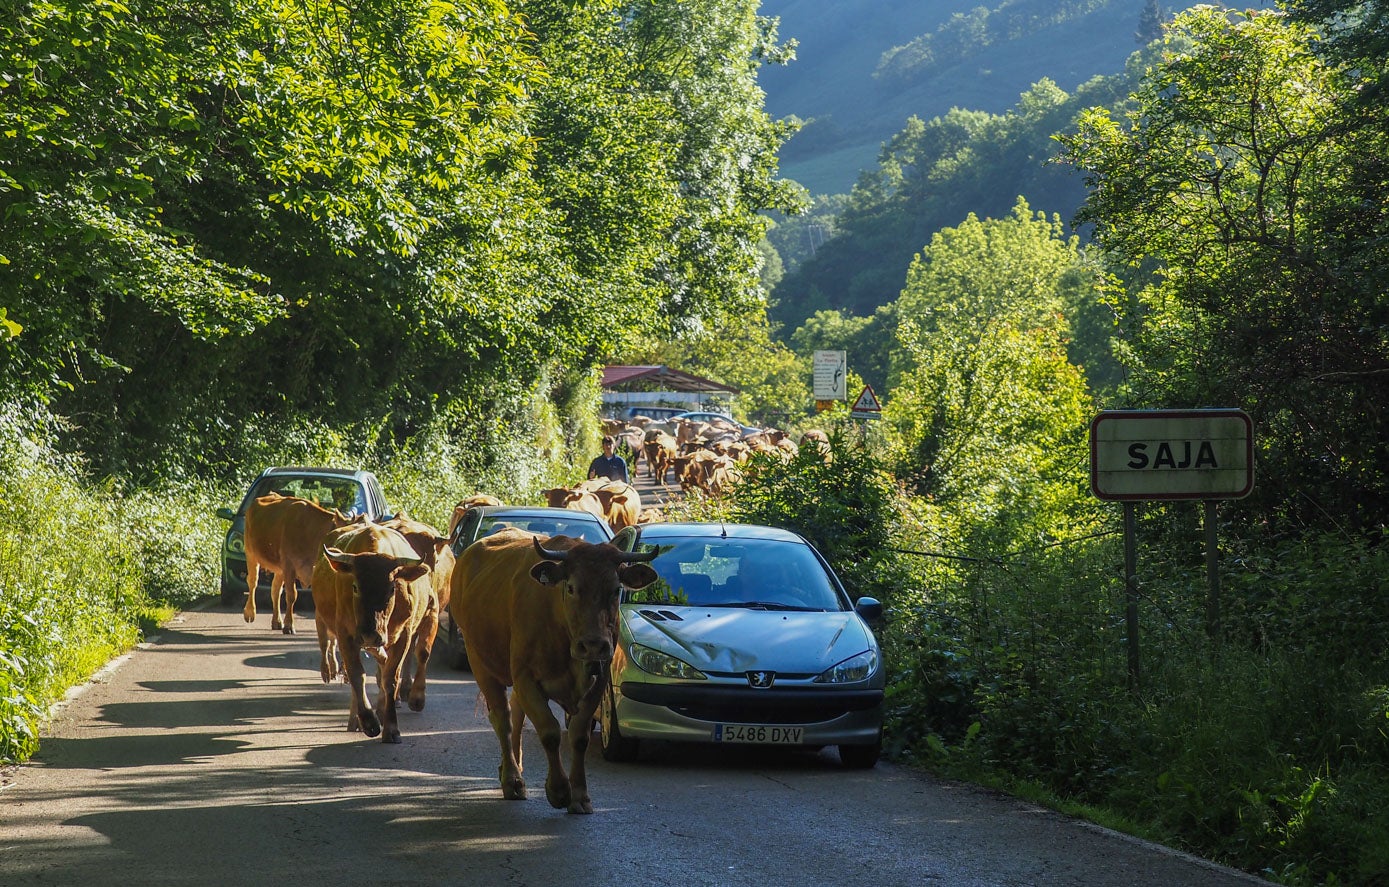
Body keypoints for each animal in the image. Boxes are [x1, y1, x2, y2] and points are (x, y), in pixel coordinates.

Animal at [237, 494, 350, 632]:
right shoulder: (289, 565)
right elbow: (291, 595)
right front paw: (289, 625)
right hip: (251, 554)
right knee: (253, 581)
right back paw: (250, 613)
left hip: (279, 569)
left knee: (275, 589)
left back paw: (276, 621)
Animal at [315, 521, 433, 744]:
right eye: (354, 587)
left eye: (392, 588)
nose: (370, 634)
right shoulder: (346, 635)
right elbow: (357, 675)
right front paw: (369, 721)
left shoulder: (404, 636)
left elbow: (390, 679)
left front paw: (391, 727)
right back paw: (357, 719)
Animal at [450, 530, 655, 816]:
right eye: (571, 588)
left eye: (616, 590)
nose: (593, 644)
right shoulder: (526, 677)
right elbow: (549, 731)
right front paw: (558, 790)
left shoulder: (599, 680)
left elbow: (579, 737)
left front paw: (580, 795)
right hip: (479, 660)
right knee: (503, 718)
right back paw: (512, 779)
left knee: (516, 714)